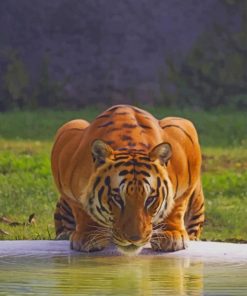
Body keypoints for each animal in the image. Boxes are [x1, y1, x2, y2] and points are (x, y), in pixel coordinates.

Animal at [50, 104, 205, 254]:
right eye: (117, 198)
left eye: (150, 199)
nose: (134, 239)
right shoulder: (66, 139)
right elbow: (81, 208)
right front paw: (88, 236)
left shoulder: (184, 133)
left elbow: (177, 205)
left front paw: (172, 235)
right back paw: (64, 235)